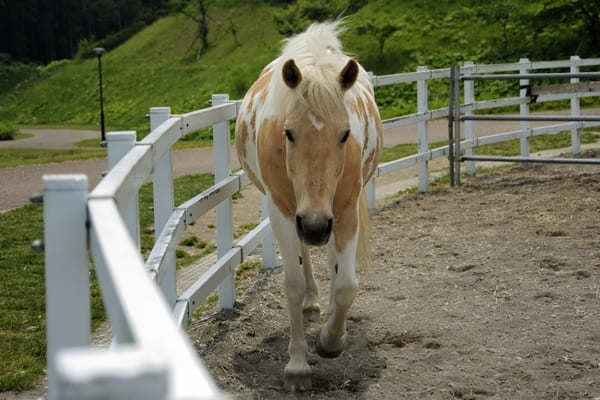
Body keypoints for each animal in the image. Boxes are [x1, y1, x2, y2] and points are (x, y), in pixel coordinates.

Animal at [236, 21, 382, 390]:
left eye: (344, 134)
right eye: (288, 132)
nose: (315, 225)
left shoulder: (343, 211)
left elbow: (346, 285)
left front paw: (331, 340)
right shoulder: (283, 212)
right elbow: (292, 285)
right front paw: (298, 365)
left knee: (331, 260)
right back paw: (313, 302)